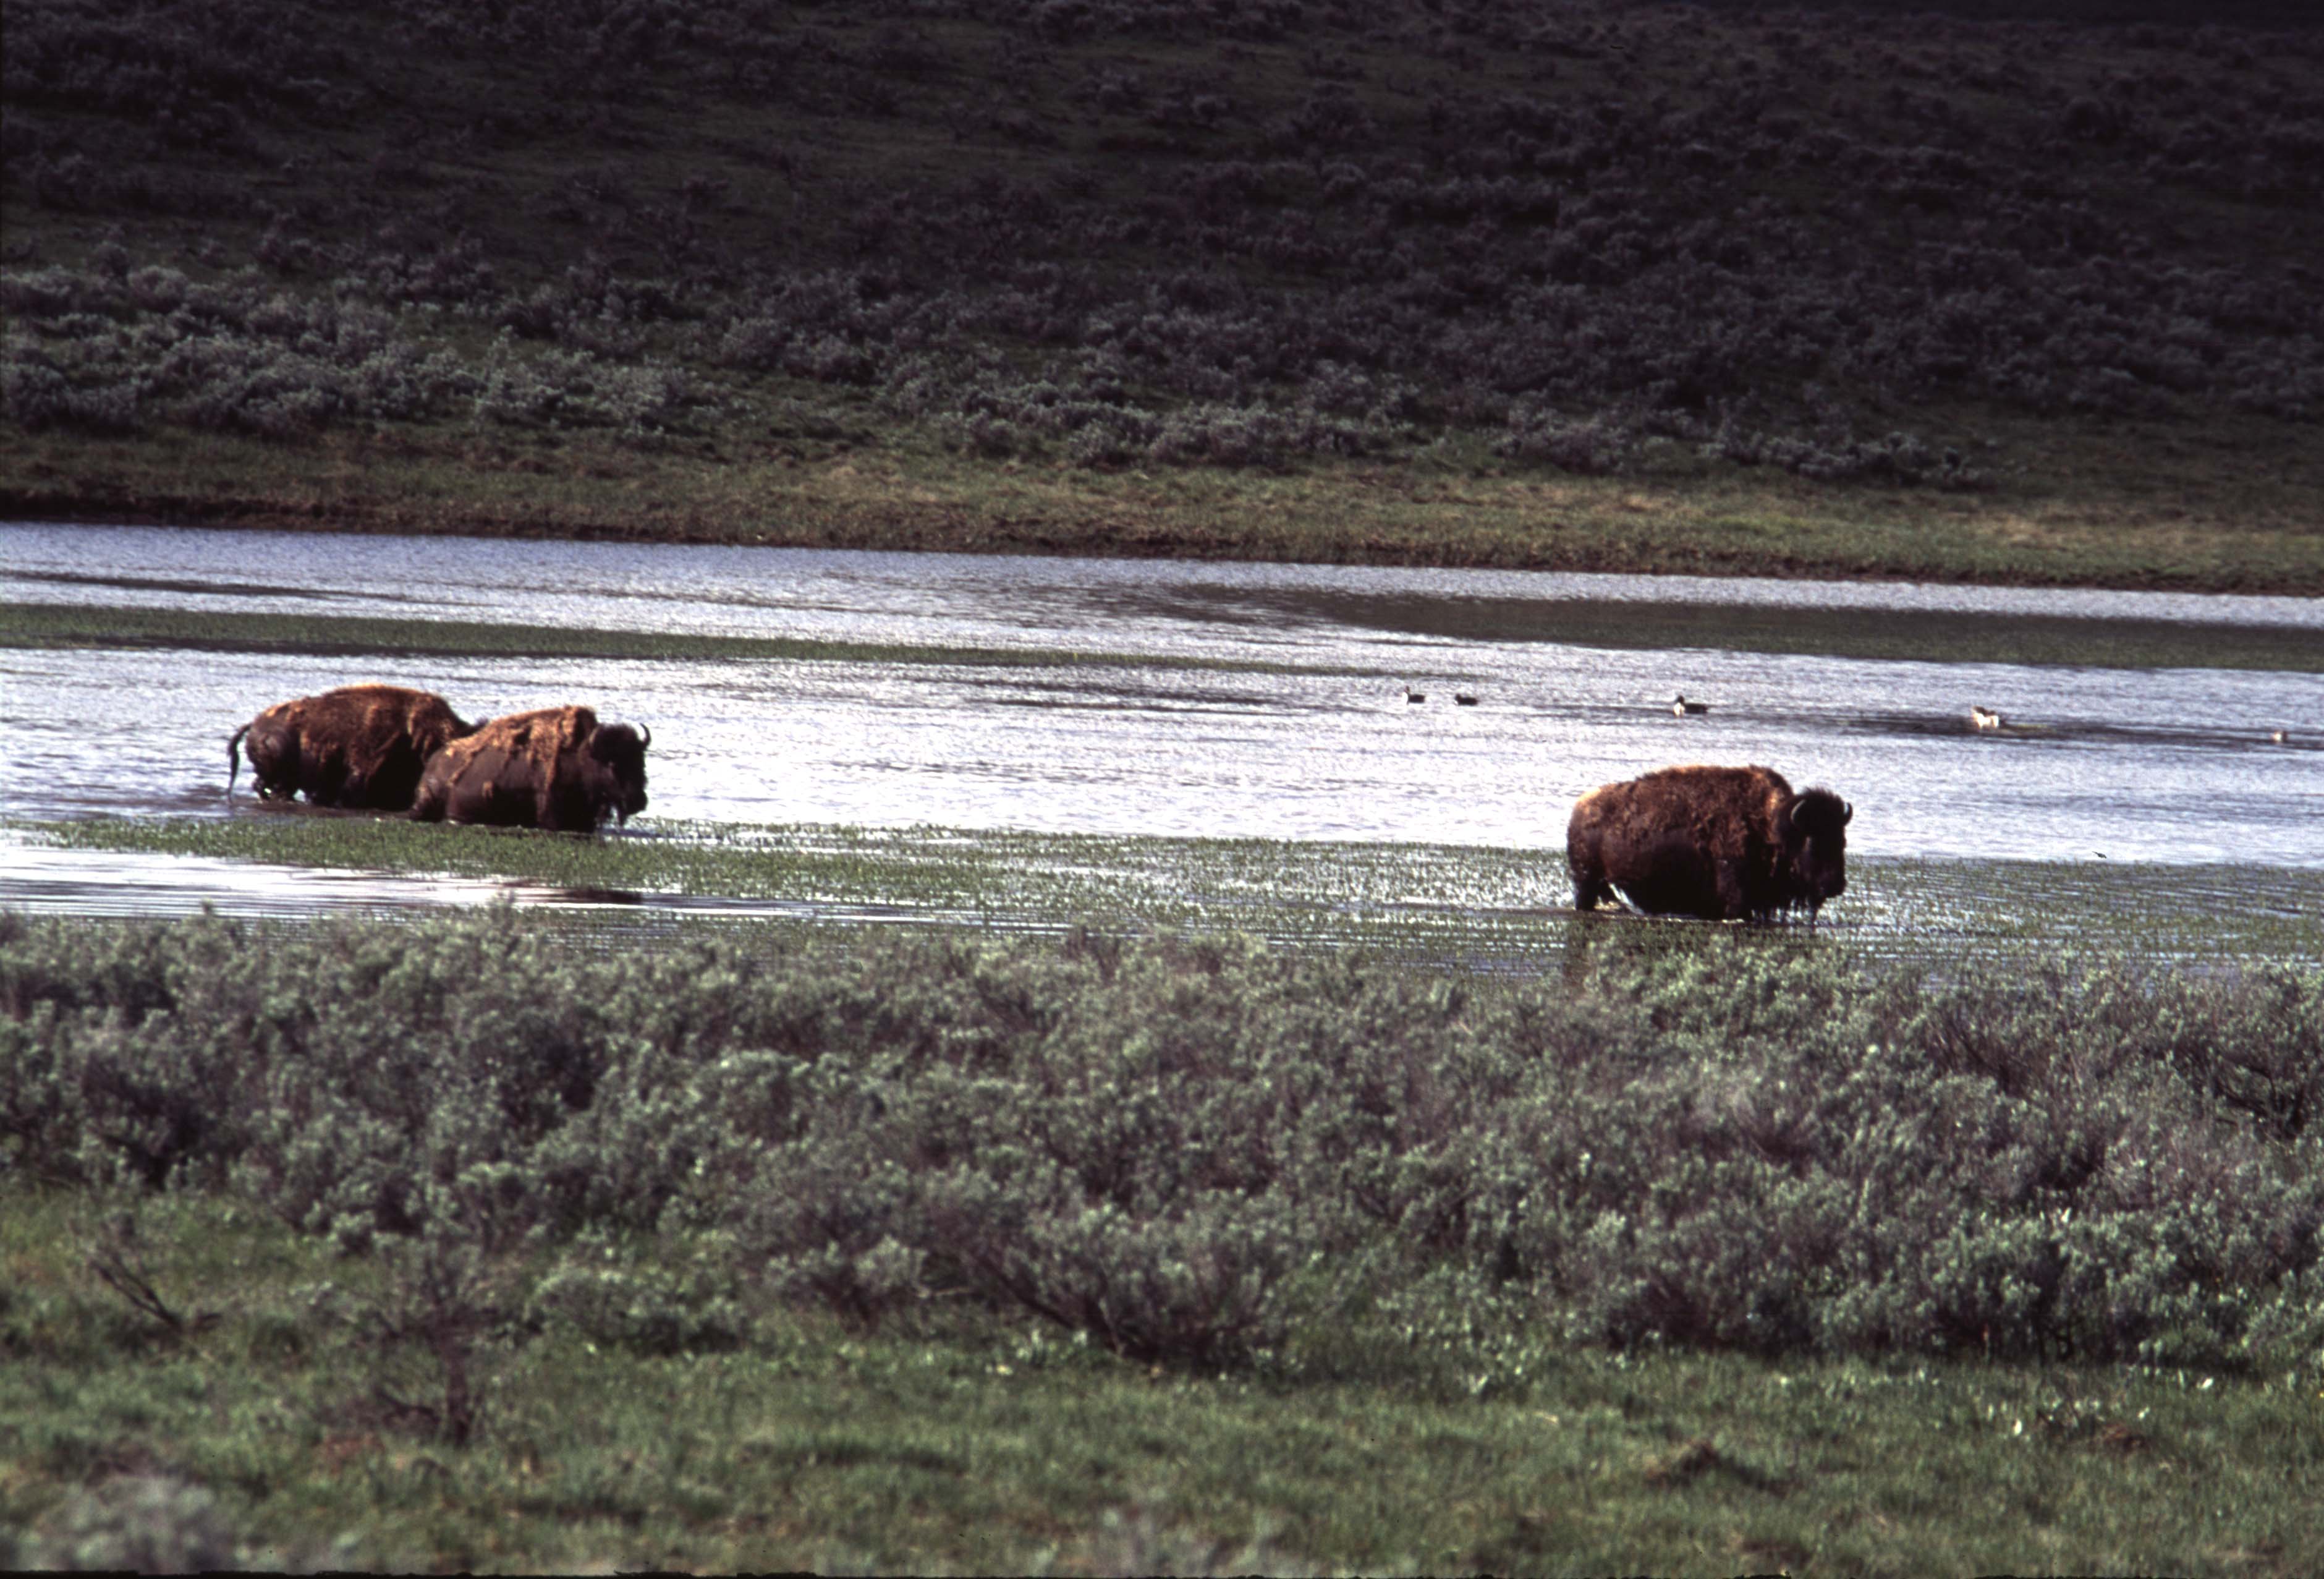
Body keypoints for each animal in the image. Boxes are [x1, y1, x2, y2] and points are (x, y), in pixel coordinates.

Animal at [410, 705, 649, 832]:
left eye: (641, 761)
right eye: (612, 763)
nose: (638, 800)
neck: (582, 758)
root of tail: (432, 764)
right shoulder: (552, 819)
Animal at [1567, 763, 1852, 922]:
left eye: (1842, 841)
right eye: (1813, 841)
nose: (1836, 885)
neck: (1770, 826)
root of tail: (1580, 807)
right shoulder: (1736, 898)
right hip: (1586, 880)